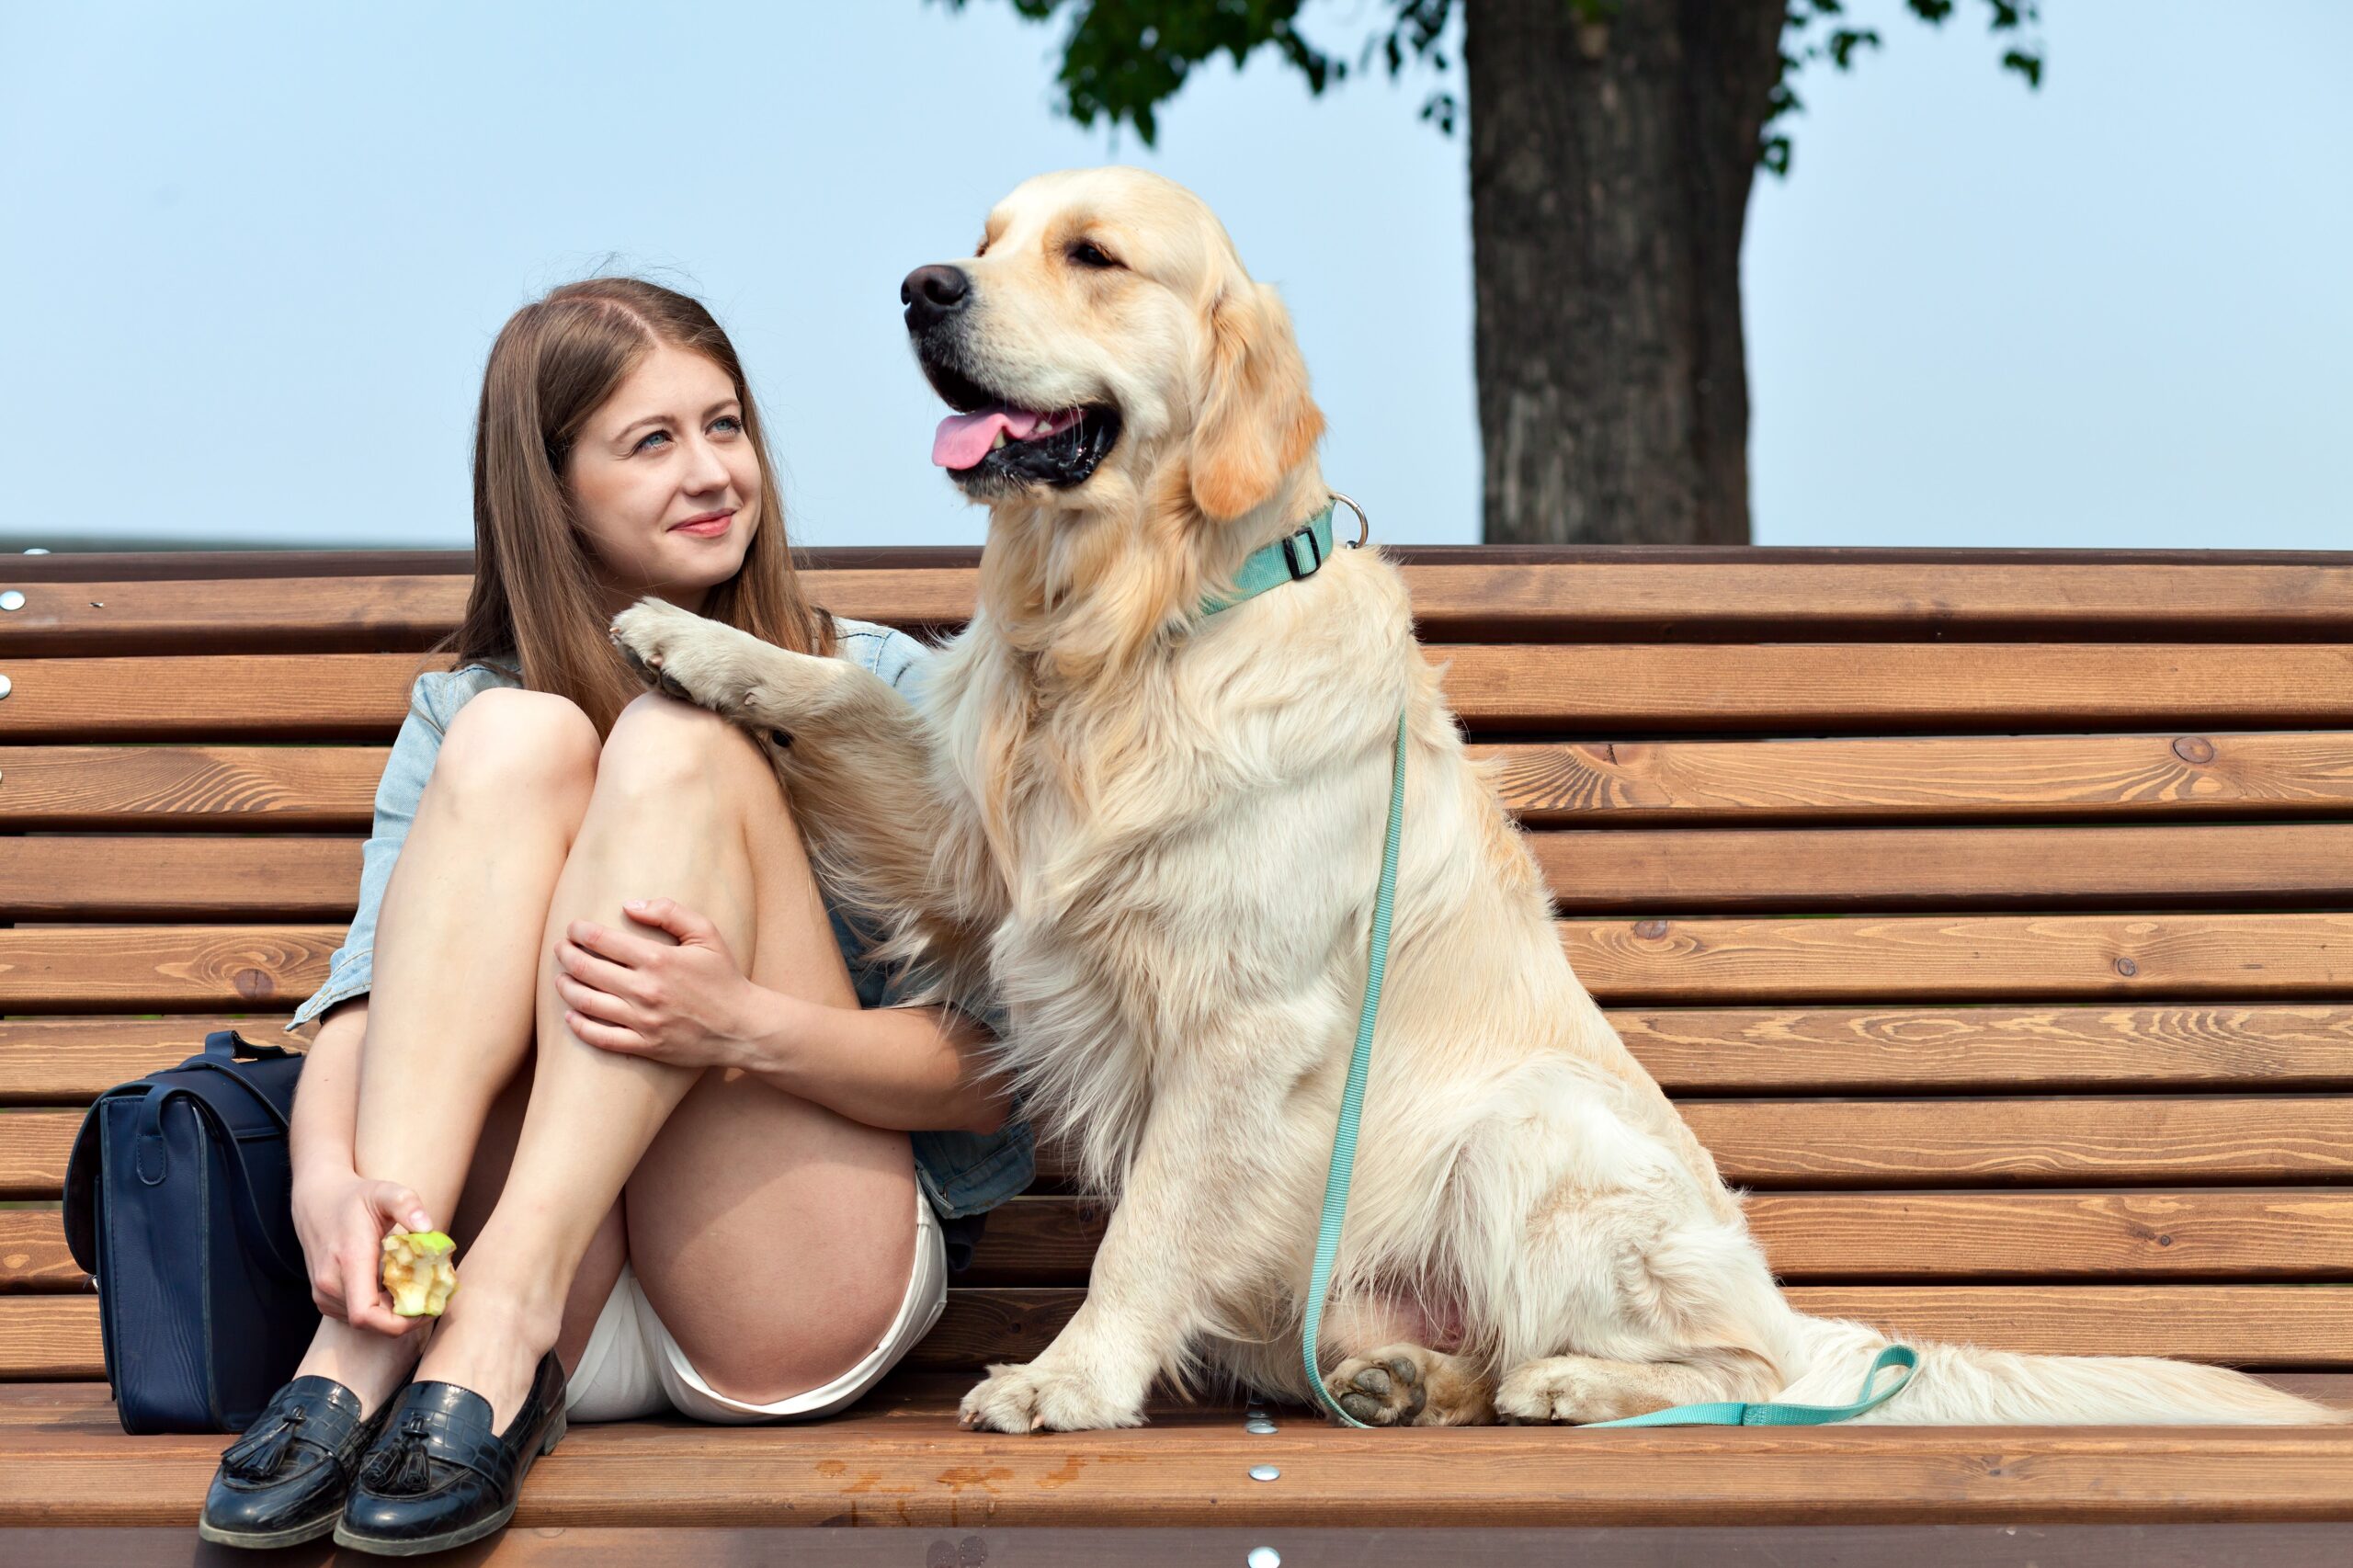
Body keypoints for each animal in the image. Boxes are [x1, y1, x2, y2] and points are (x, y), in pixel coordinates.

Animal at [611, 168, 2353, 1431]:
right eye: (982, 241)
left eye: (1093, 255)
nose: (923, 286)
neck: (1129, 634)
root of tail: (1797, 1312)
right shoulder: (984, 862)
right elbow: (848, 696)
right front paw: (689, 638)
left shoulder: (1239, 1020)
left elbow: (1147, 1227)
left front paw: (1071, 1380)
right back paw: (1402, 1375)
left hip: (1531, 1133)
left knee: (1737, 1371)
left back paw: (1573, 1382)